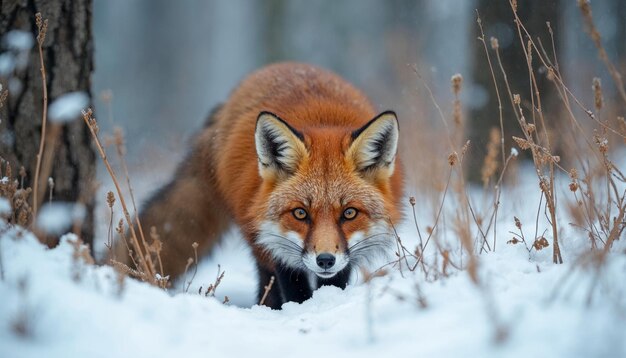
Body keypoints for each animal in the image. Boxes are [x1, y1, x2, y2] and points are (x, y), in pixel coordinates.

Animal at [119, 61, 402, 308]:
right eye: (300, 213)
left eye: (349, 213)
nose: (325, 260)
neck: (323, 121)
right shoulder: (274, 244)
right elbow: (293, 285)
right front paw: (299, 310)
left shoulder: (346, 257)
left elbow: (335, 282)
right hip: (257, 238)